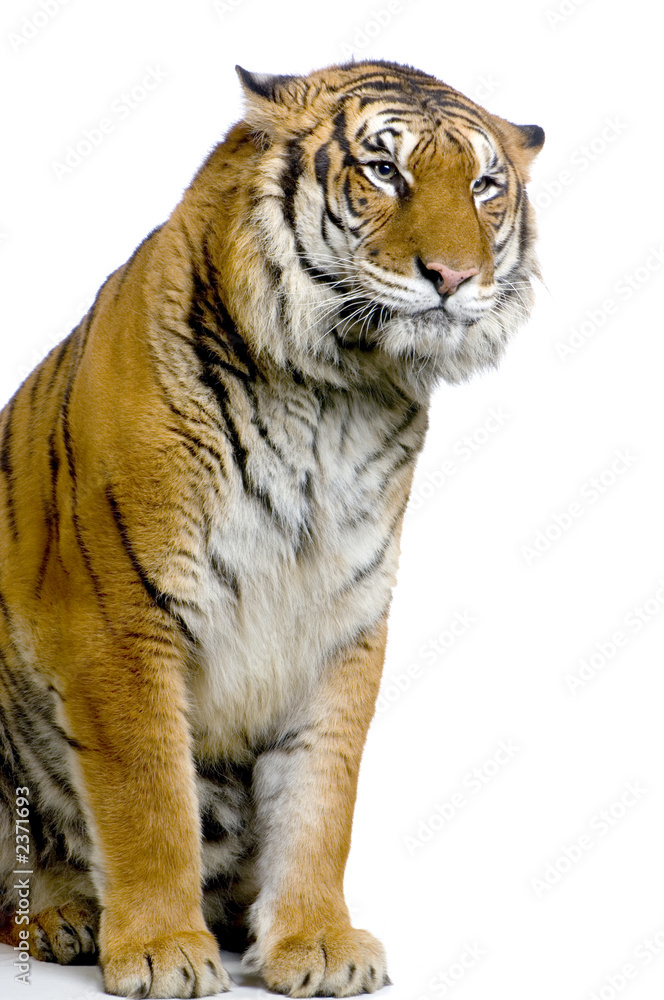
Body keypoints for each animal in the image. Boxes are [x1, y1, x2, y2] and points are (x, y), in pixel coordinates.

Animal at [0, 59, 543, 998]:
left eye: (483, 186)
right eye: (384, 171)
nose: (452, 276)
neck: (337, 397)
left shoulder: (344, 620)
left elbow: (322, 799)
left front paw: (315, 943)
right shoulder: (122, 618)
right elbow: (149, 798)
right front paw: (161, 950)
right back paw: (66, 917)